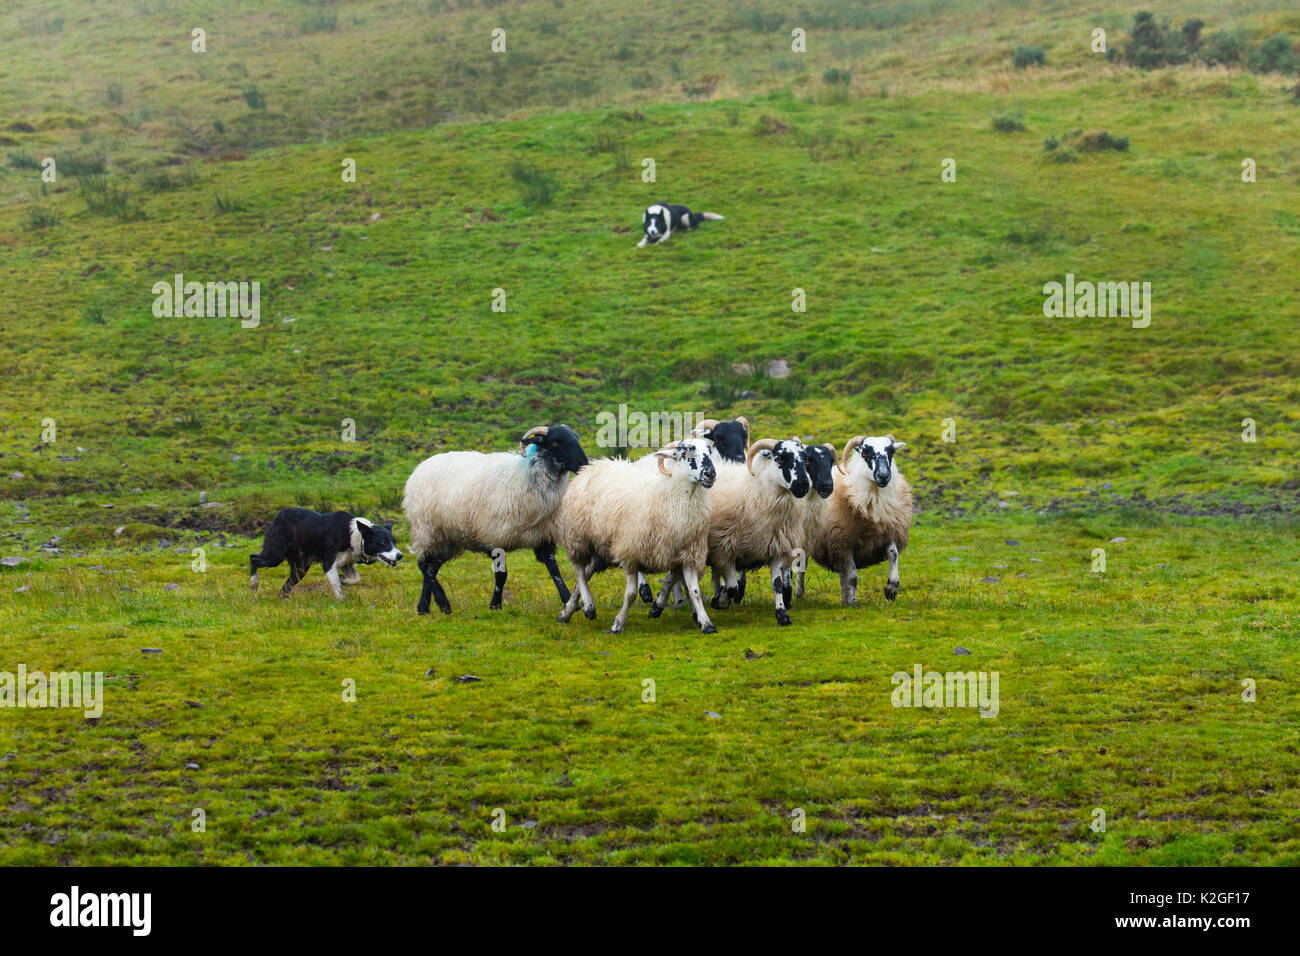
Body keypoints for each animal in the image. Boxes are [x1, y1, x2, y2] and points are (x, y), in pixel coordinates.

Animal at [249, 509, 400, 598]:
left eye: (394, 541)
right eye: (382, 542)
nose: (400, 555)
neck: (354, 535)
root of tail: (278, 515)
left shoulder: (346, 564)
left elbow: (354, 578)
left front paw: (343, 579)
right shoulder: (328, 564)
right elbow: (337, 586)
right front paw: (342, 600)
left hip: (300, 568)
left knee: (286, 586)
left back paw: (284, 598)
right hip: (275, 555)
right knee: (253, 557)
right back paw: (254, 583)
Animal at [400, 424, 590, 613]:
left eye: (576, 438)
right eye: (556, 442)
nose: (584, 465)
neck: (523, 476)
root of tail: (421, 466)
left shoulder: (543, 536)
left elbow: (554, 570)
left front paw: (567, 600)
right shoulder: (494, 536)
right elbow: (501, 575)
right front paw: (495, 605)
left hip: (449, 539)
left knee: (432, 567)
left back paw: (424, 607)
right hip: (427, 529)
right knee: (424, 565)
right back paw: (442, 603)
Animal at [559, 439, 722, 634]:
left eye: (709, 451)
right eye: (685, 452)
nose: (710, 474)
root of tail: (592, 466)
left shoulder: (689, 555)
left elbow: (694, 591)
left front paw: (706, 623)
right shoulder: (630, 553)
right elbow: (630, 594)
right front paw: (618, 624)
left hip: (602, 547)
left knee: (586, 573)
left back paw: (568, 611)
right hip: (578, 537)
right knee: (578, 570)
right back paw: (588, 605)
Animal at [806, 434, 909, 600]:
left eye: (891, 452)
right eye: (865, 453)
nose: (884, 476)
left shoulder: (889, 532)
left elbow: (893, 553)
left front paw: (891, 589)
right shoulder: (843, 542)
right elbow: (852, 577)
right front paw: (852, 601)